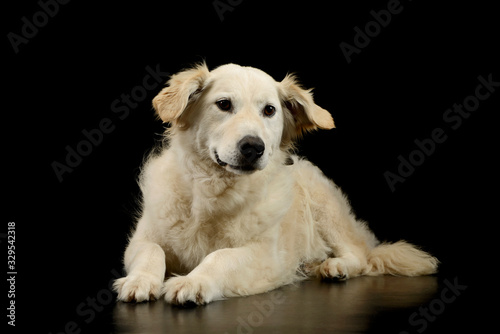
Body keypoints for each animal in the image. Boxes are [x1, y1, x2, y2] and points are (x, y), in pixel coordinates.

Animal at [112, 62, 438, 306]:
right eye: (223, 104)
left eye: (269, 110)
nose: (253, 147)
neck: (214, 190)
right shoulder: (140, 240)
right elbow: (152, 252)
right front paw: (140, 281)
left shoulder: (264, 257)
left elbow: (221, 257)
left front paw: (193, 281)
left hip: (325, 208)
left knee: (361, 256)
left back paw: (334, 267)